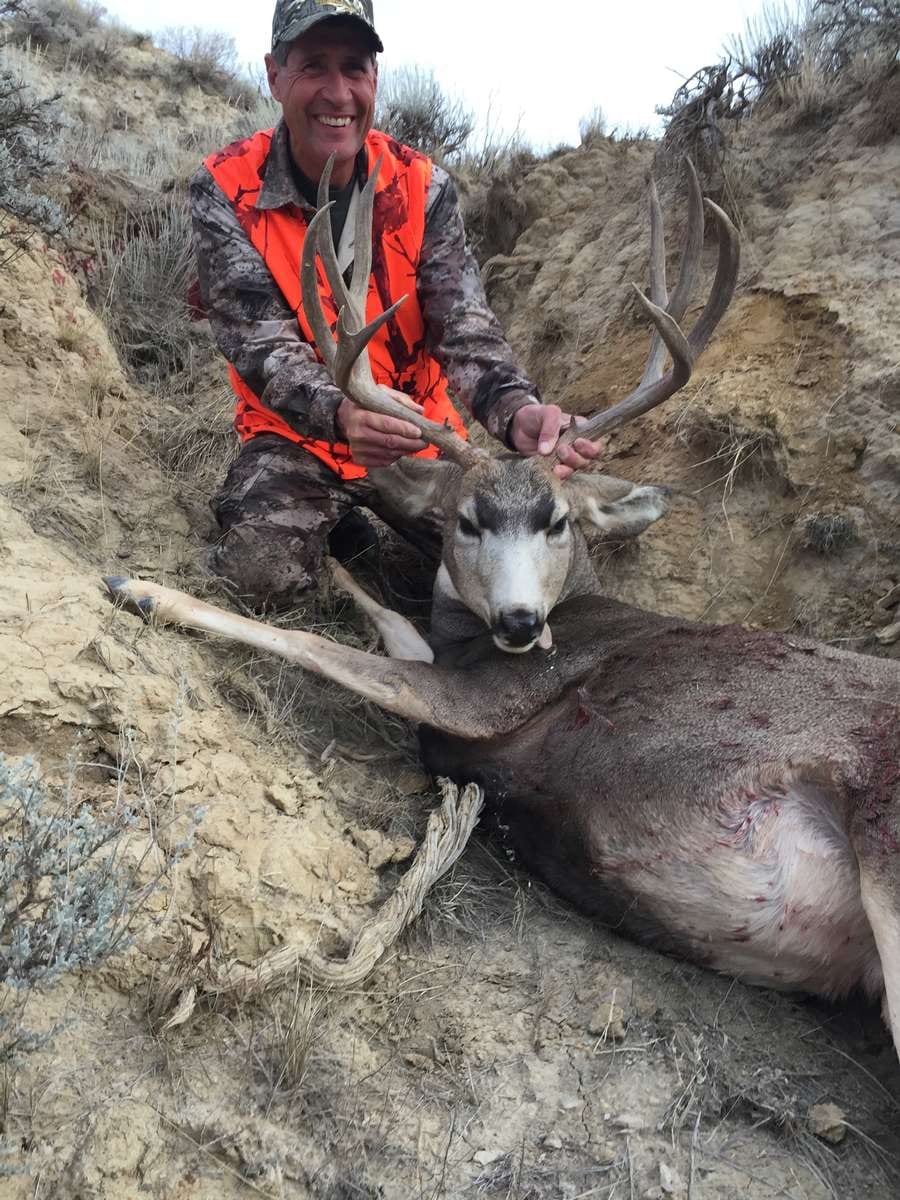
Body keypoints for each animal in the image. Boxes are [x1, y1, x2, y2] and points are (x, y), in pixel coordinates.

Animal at [105, 155, 900, 1057]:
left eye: (558, 520)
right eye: (466, 520)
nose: (523, 624)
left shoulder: (489, 697)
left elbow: (324, 650)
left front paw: (141, 588)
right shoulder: (461, 660)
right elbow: (390, 620)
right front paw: (337, 559)